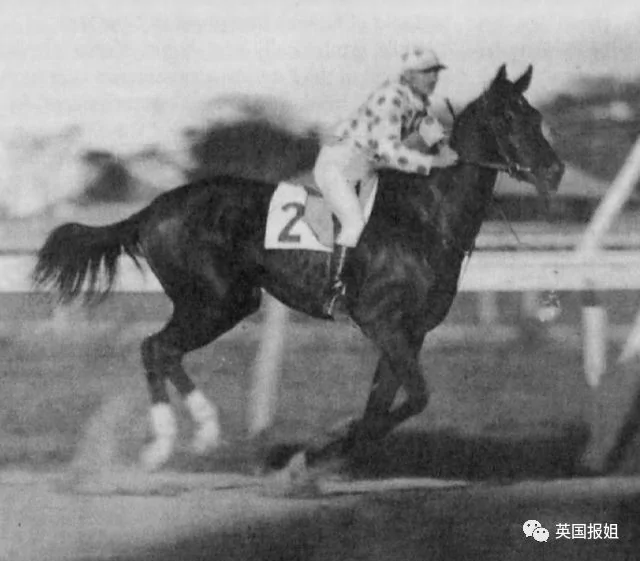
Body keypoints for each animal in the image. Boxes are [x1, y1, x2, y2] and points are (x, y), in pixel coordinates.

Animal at [32, 64, 564, 477]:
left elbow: (384, 407)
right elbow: (413, 399)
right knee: (156, 347)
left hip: (220, 301)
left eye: (535, 115)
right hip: (220, 300)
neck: (426, 216)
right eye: (508, 116)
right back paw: (182, 439)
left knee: (160, 350)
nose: (555, 171)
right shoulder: (381, 321)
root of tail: (154, 208)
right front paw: (313, 455)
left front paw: (320, 458)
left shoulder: (409, 333)